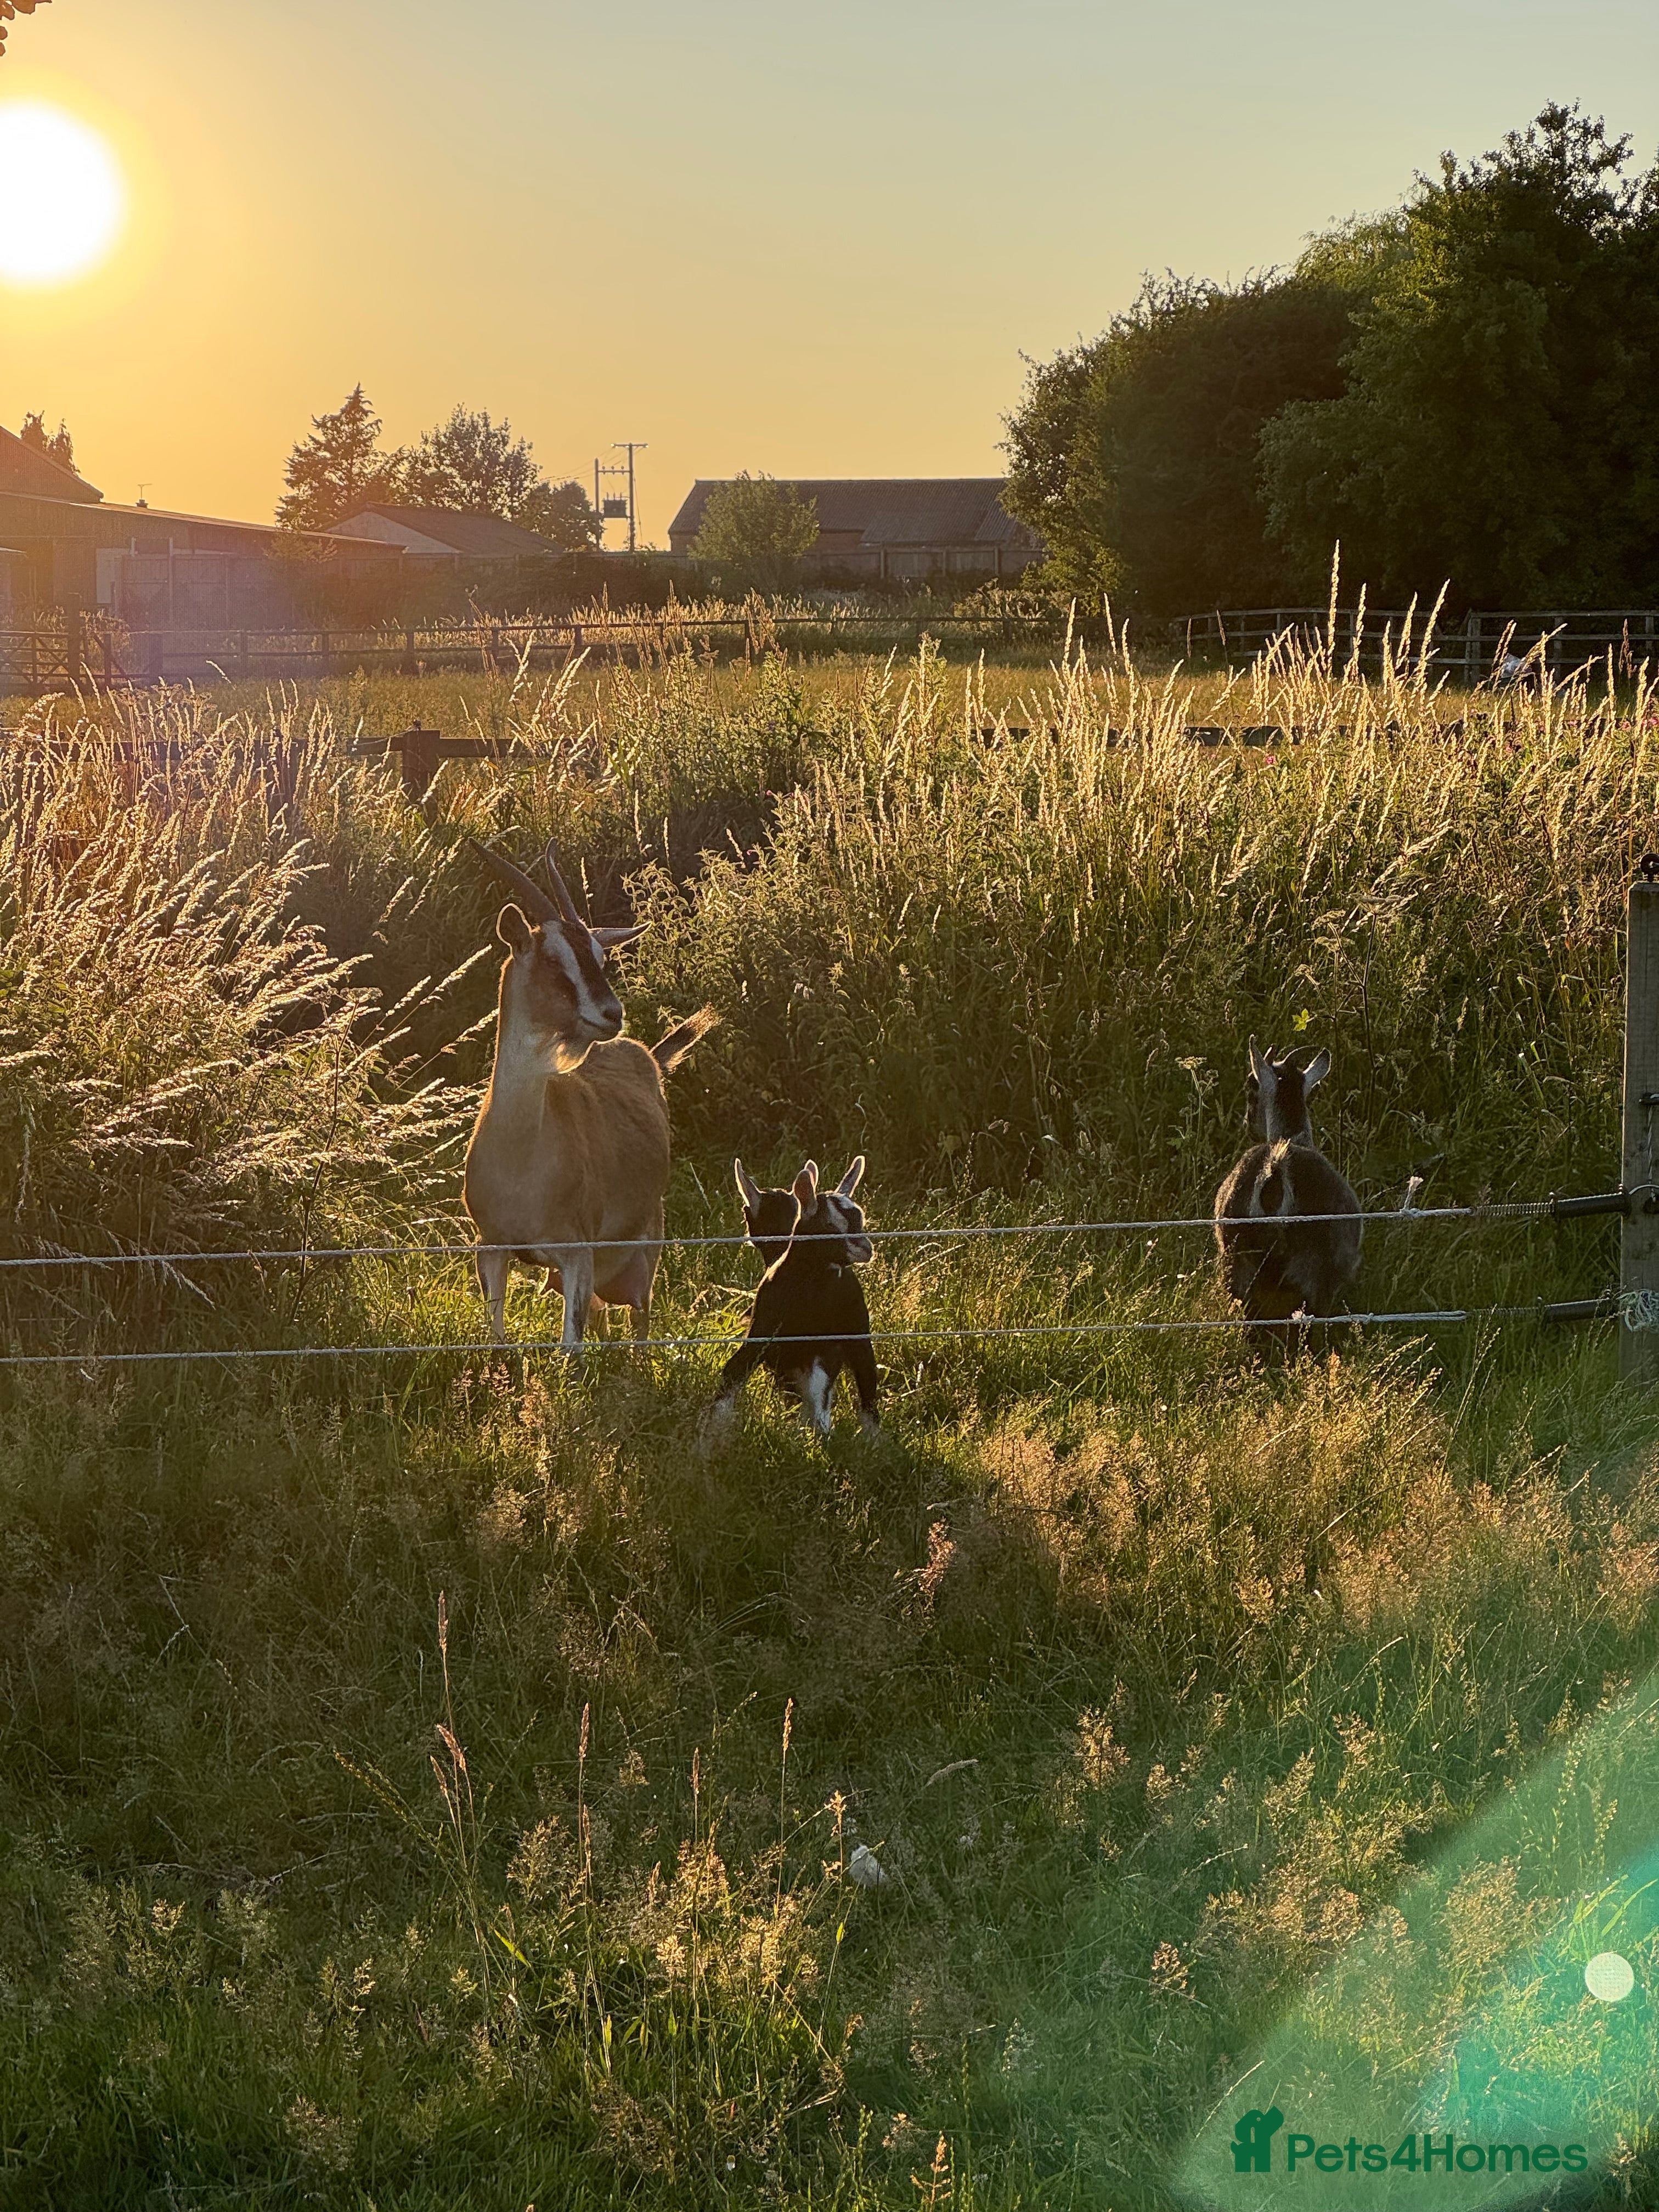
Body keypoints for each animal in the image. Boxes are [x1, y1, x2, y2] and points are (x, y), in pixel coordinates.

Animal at [462, 838, 716, 1349]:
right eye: (552, 959)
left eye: (600, 957)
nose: (611, 1013)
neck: (521, 1152)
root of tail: (646, 1054)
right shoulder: (492, 1248)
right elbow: (498, 1342)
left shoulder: (577, 1253)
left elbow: (570, 1349)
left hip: (644, 1247)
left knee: (640, 1323)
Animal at [708, 1158, 879, 1435]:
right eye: (829, 1225)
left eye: (861, 1218)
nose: (866, 1248)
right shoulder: (764, 1332)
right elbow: (735, 1371)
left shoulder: (852, 1339)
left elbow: (865, 1392)